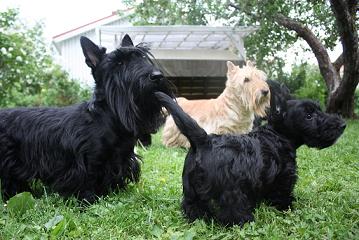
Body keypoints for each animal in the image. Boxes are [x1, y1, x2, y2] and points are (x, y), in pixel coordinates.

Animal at [0, 33, 174, 202]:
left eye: (142, 57)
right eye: (118, 64)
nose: (157, 76)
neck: (108, 118)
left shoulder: (123, 159)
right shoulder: (86, 163)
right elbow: (87, 182)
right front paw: (88, 199)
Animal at [156, 86, 348, 227]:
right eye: (309, 115)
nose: (342, 125)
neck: (278, 135)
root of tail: (204, 141)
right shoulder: (285, 178)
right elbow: (283, 194)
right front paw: (288, 207)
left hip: (191, 191)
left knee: (193, 207)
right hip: (232, 191)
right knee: (233, 210)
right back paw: (245, 221)